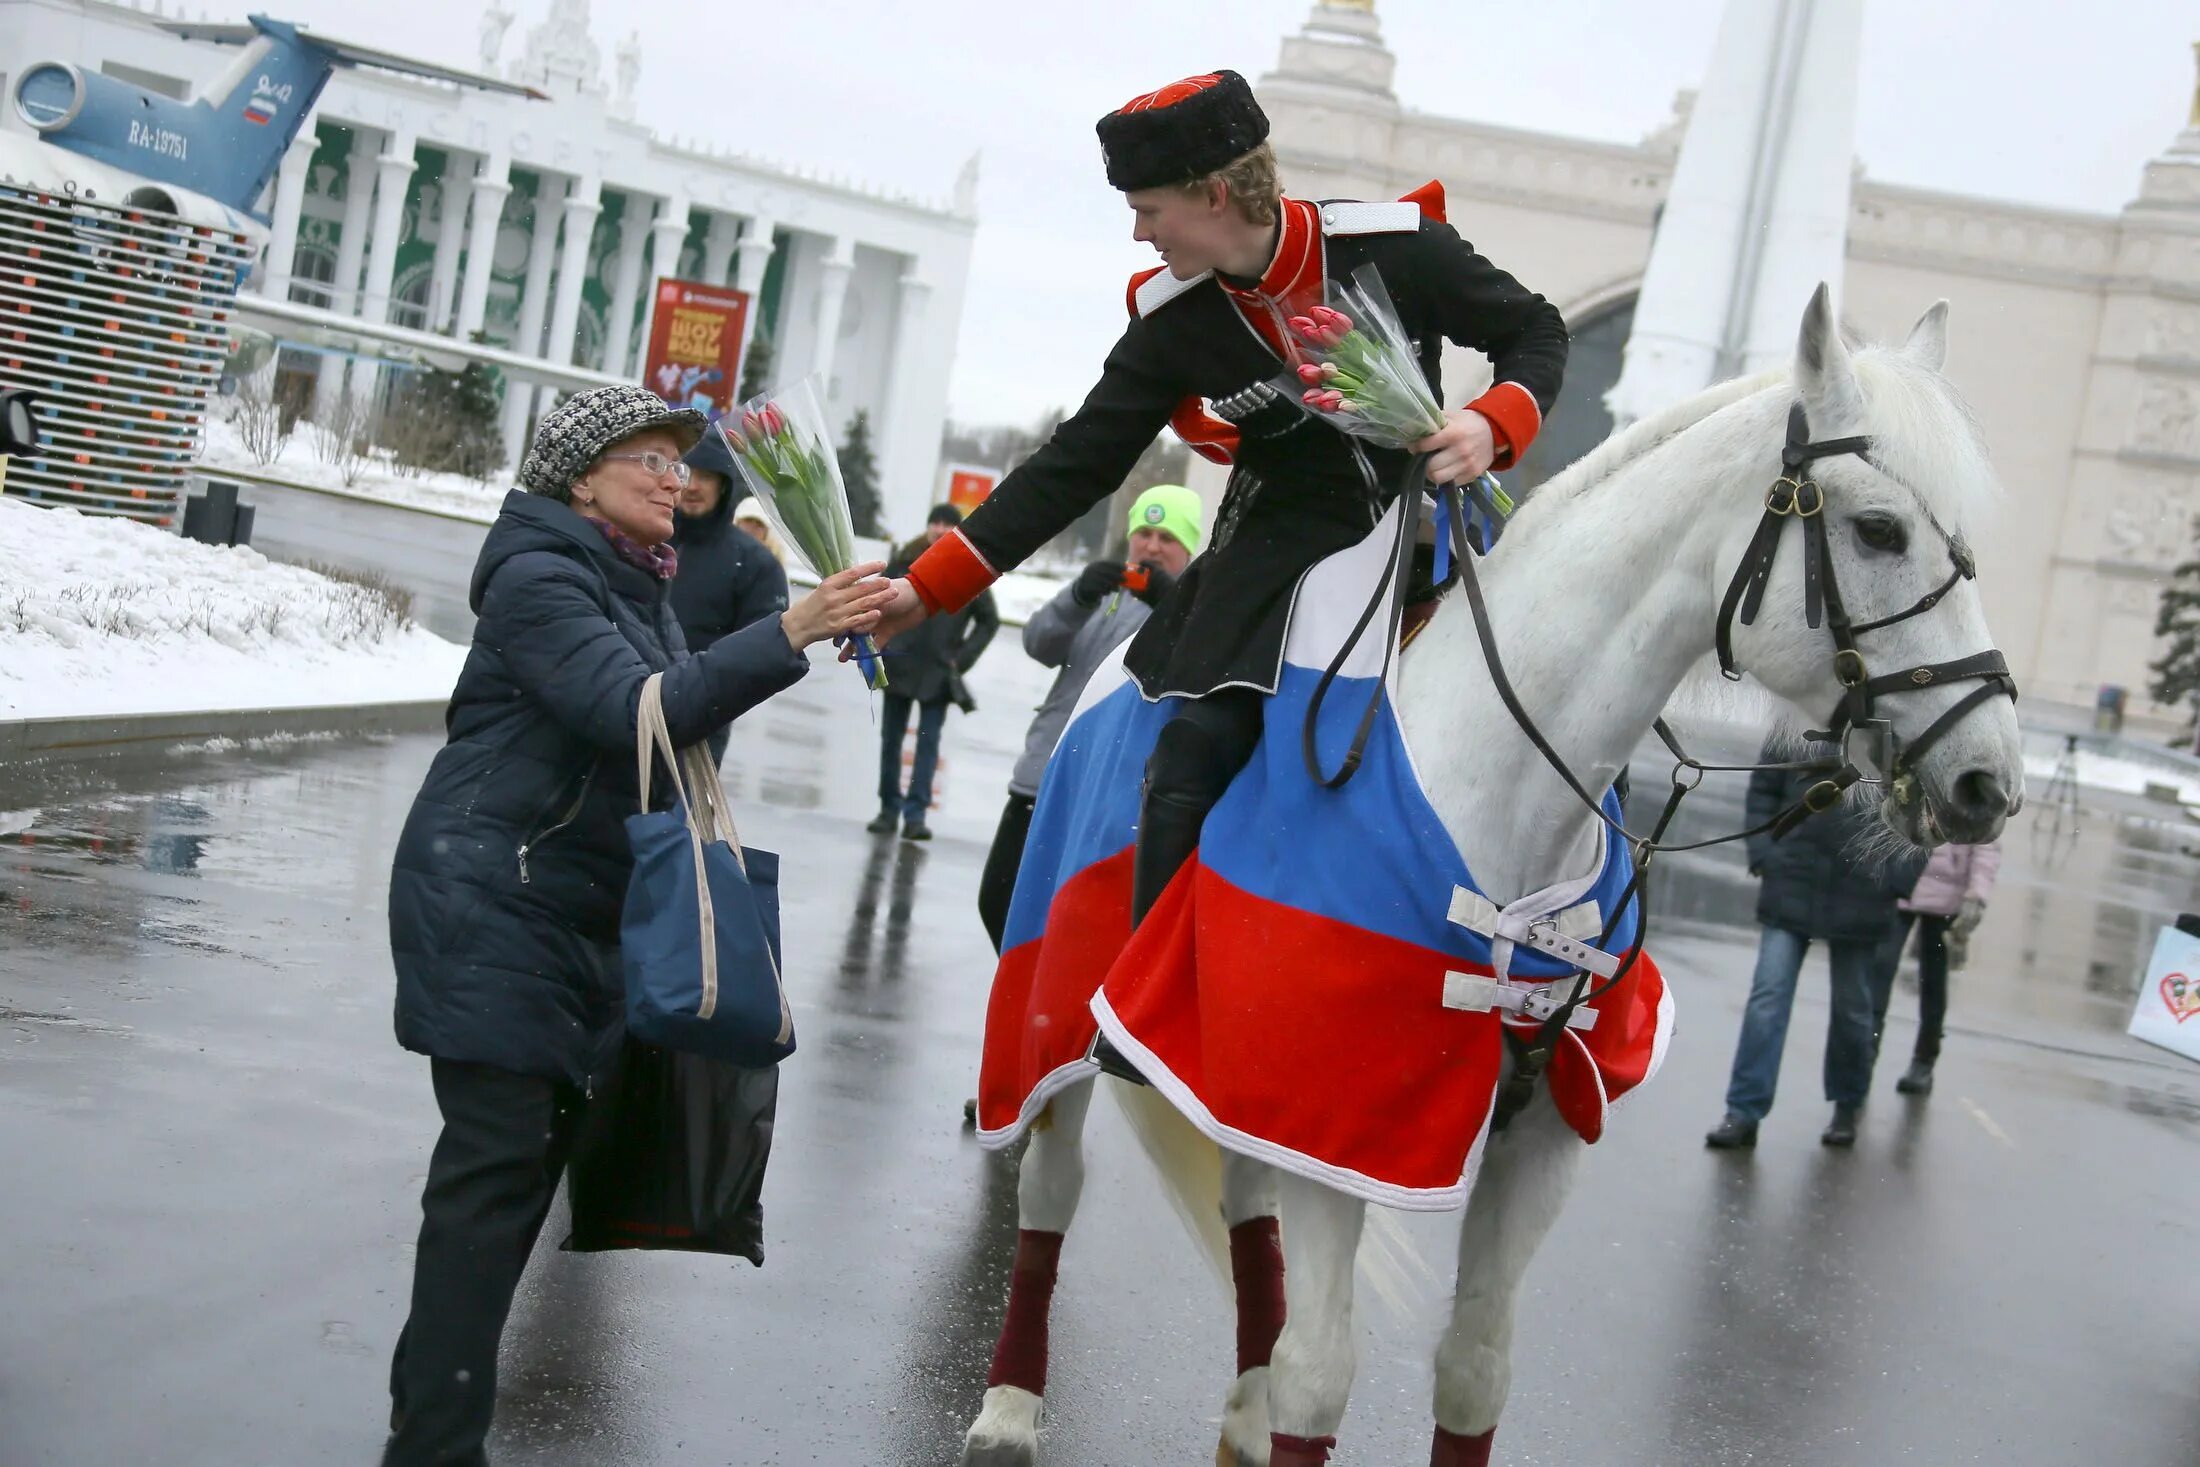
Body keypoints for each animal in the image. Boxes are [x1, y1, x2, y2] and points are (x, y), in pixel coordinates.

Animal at [963, 290, 2024, 1467]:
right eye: (1879, 530)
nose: (1989, 780)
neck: (1501, 789)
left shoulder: (1527, 1135)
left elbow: (1474, 1369)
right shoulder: (1341, 1125)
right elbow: (1318, 1379)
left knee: (1243, 1207)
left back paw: (1233, 1402)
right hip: (1055, 1010)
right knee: (1052, 1183)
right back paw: (1008, 1403)